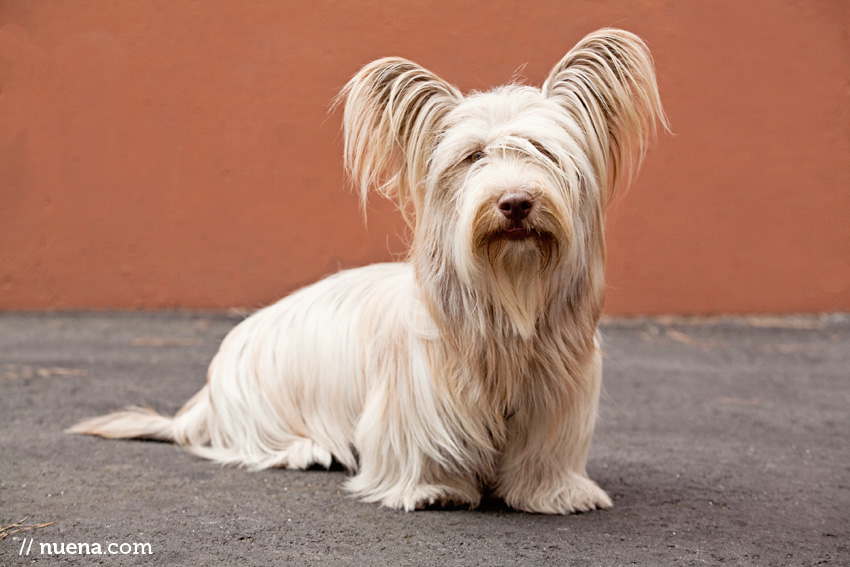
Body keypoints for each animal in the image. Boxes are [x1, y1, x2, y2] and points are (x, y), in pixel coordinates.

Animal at [68, 27, 664, 516]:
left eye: (543, 151)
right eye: (472, 157)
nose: (515, 202)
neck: (509, 294)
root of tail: (206, 395)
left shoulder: (557, 395)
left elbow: (545, 452)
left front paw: (554, 493)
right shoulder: (416, 395)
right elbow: (421, 445)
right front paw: (433, 489)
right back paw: (306, 450)